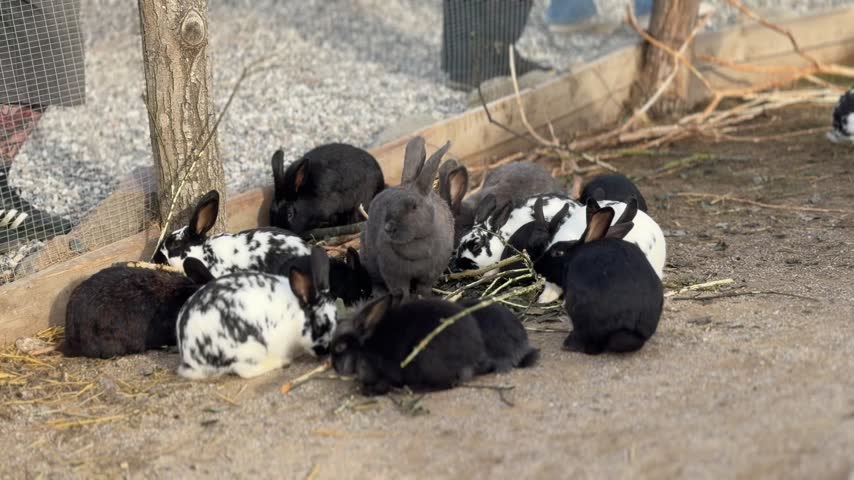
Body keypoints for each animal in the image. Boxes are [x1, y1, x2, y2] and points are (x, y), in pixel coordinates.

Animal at [176, 247, 337, 379]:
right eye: (320, 326)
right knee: (244, 371)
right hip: (248, 350)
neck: (297, 314)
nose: (327, 351)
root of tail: (190, 357)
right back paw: (281, 362)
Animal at [329, 294, 490, 395]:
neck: (364, 348)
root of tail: (472, 358)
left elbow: (385, 383)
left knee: (447, 384)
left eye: (340, 347)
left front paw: (368, 392)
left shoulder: (387, 374)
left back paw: (417, 389)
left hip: (427, 360)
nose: (334, 367)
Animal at [360, 136, 454, 298]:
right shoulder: (394, 274)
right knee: (375, 280)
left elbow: (424, 287)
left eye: (414, 207)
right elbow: (401, 290)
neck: (418, 240)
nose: (388, 228)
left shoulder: (430, 273)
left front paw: (423, 297)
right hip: (369, 261)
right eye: (388, 203)